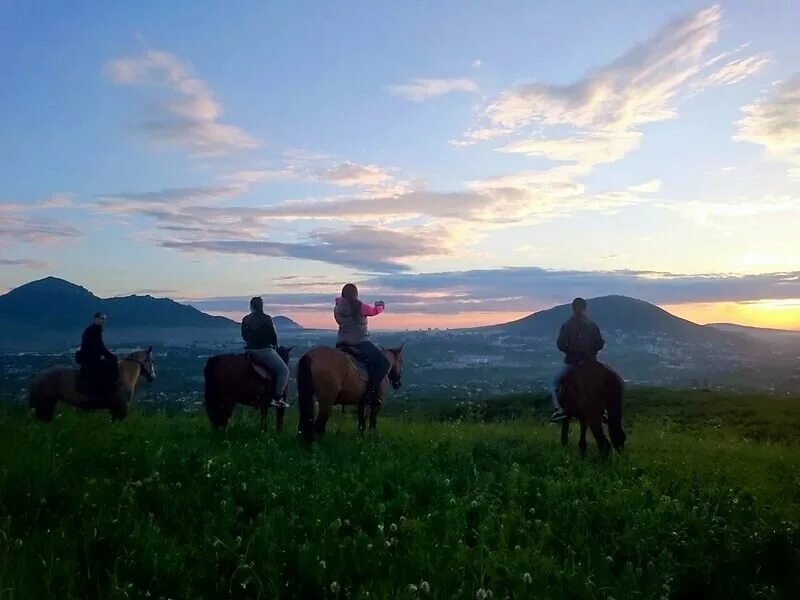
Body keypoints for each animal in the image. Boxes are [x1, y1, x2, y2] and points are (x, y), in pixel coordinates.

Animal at [28, 346, 156, 422]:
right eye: (151, 360)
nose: (153, 377)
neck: (124, 375)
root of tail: (36, 378)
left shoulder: (115, 409)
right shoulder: (120, 407)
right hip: (44, 404)